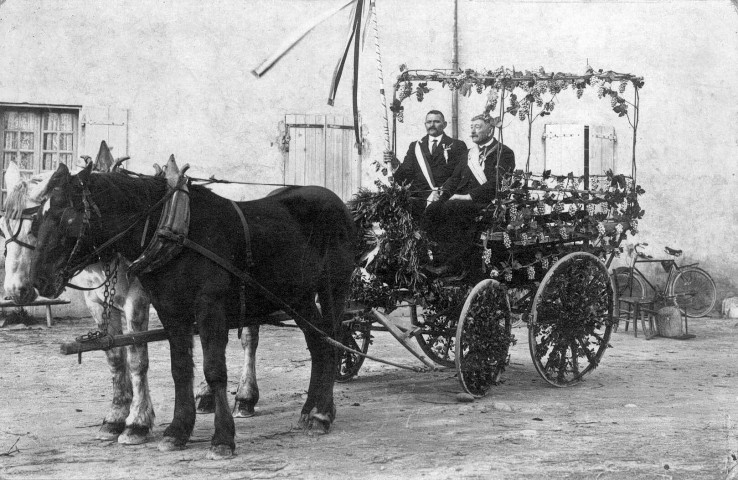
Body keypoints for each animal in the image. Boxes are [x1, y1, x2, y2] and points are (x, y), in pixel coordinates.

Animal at [30, 159, 358, 460]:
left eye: (67, 218)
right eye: (36, 219)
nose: (38, 279)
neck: (174, 231)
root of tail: (338, 203)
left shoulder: (209, 308)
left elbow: (214, 370)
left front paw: (223, 438)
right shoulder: (171, 312)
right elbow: (180, 369)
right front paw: (178, 431)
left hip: (334, 290)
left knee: (333, 342)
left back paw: (322, 413)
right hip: (298, 297)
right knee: (319, 345)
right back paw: (310, 410)